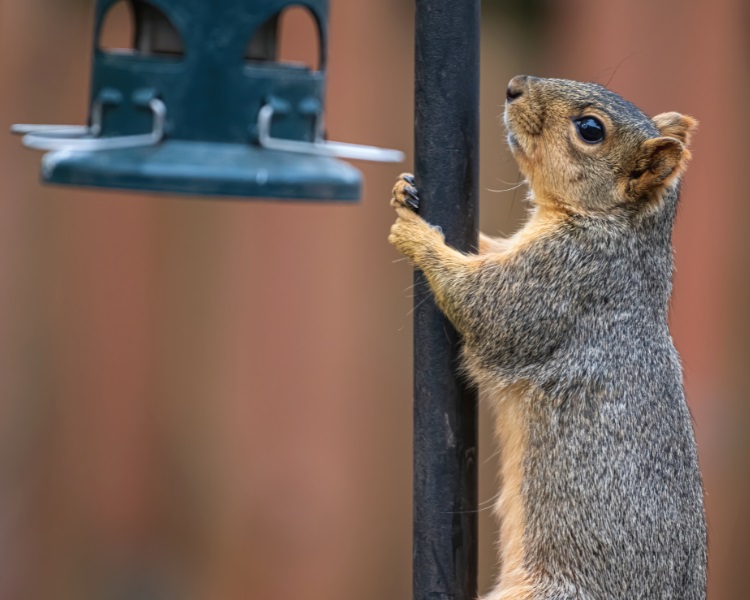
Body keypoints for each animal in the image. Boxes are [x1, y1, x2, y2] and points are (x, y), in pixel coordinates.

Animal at [390, 76, 708, 600]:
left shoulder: (560, 281)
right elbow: (489, 249)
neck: (616, 226)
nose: (514, 87)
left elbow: (483, 305)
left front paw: (417, 235)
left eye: (590, 129)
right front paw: (403, 193)